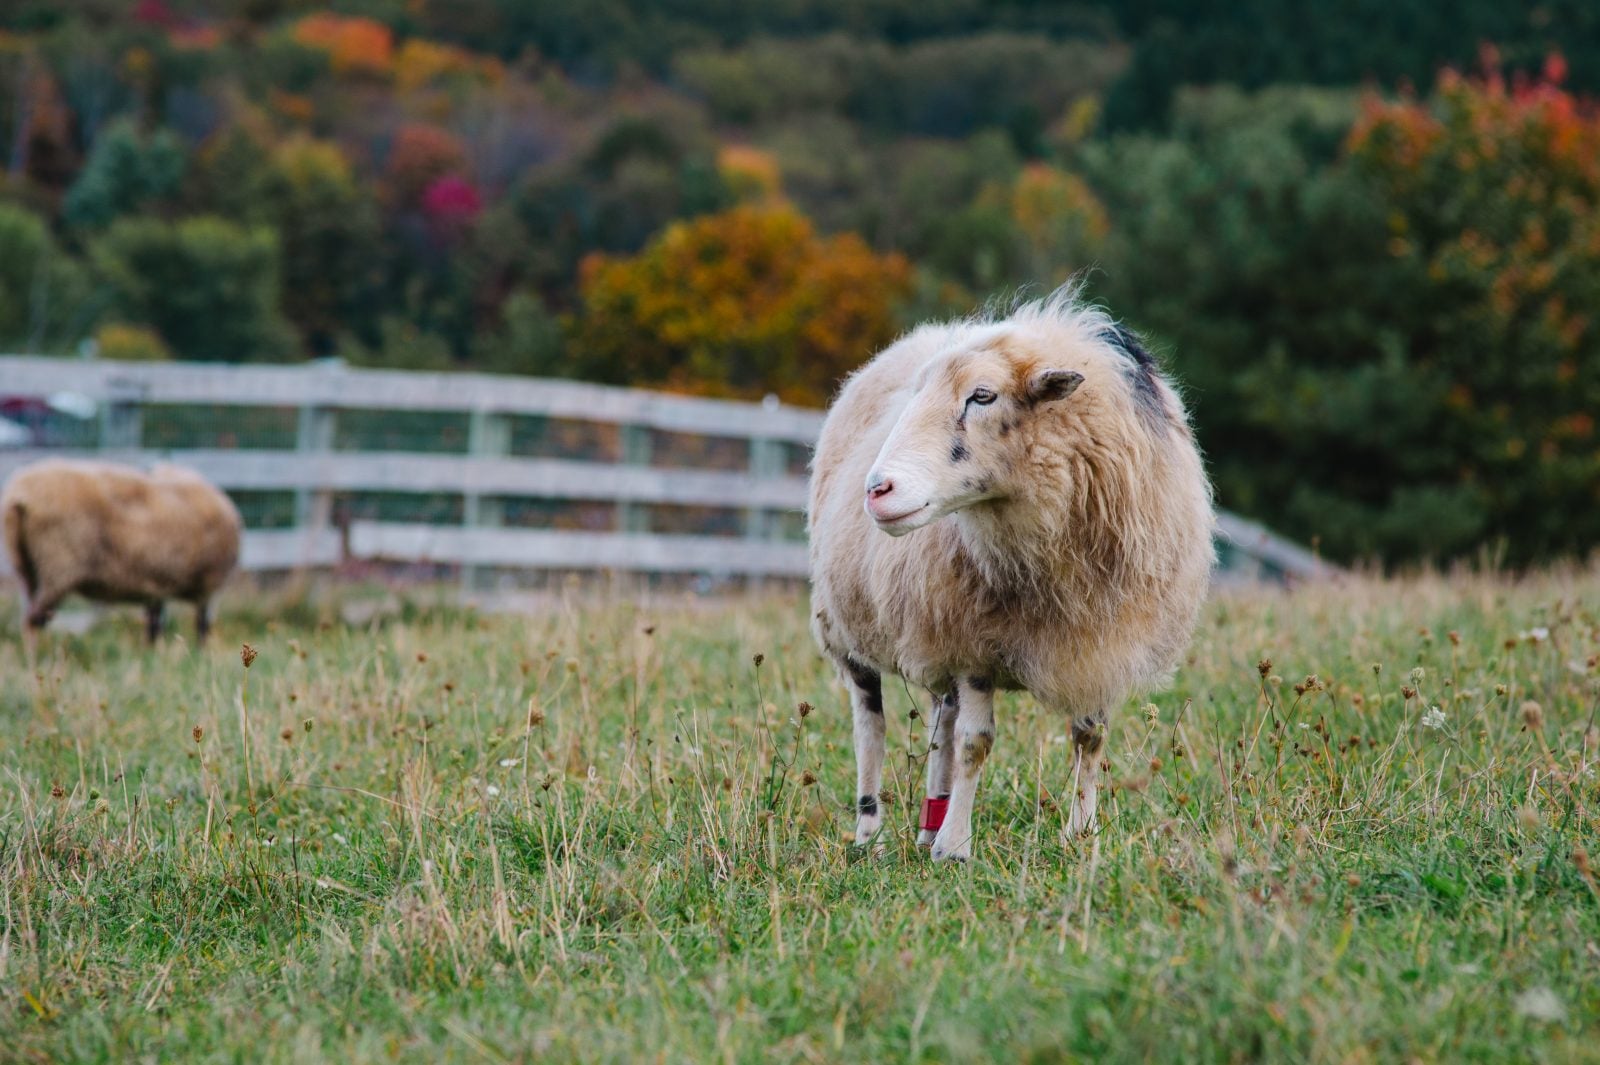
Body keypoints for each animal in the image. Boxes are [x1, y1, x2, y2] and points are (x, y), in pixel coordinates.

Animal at [2, 458, 242, 645]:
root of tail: (19, 496)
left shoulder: (159, 585)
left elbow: (156, 626)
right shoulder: (206, 587)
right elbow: (198, 627)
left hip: (27, 568)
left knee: (30, 617)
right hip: (59, 565)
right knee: (33, 621)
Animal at [808, 288, 1214, 862]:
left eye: (982, 396)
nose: (877, 489)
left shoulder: (1102, 642)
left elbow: (1090, 737)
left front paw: (1080, 836)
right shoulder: (974, 643)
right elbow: (976, 743)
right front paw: (956, 848)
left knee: (941, 723)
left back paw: (929, 823)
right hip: (846, 624)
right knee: (872, 726)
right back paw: (871, 835)